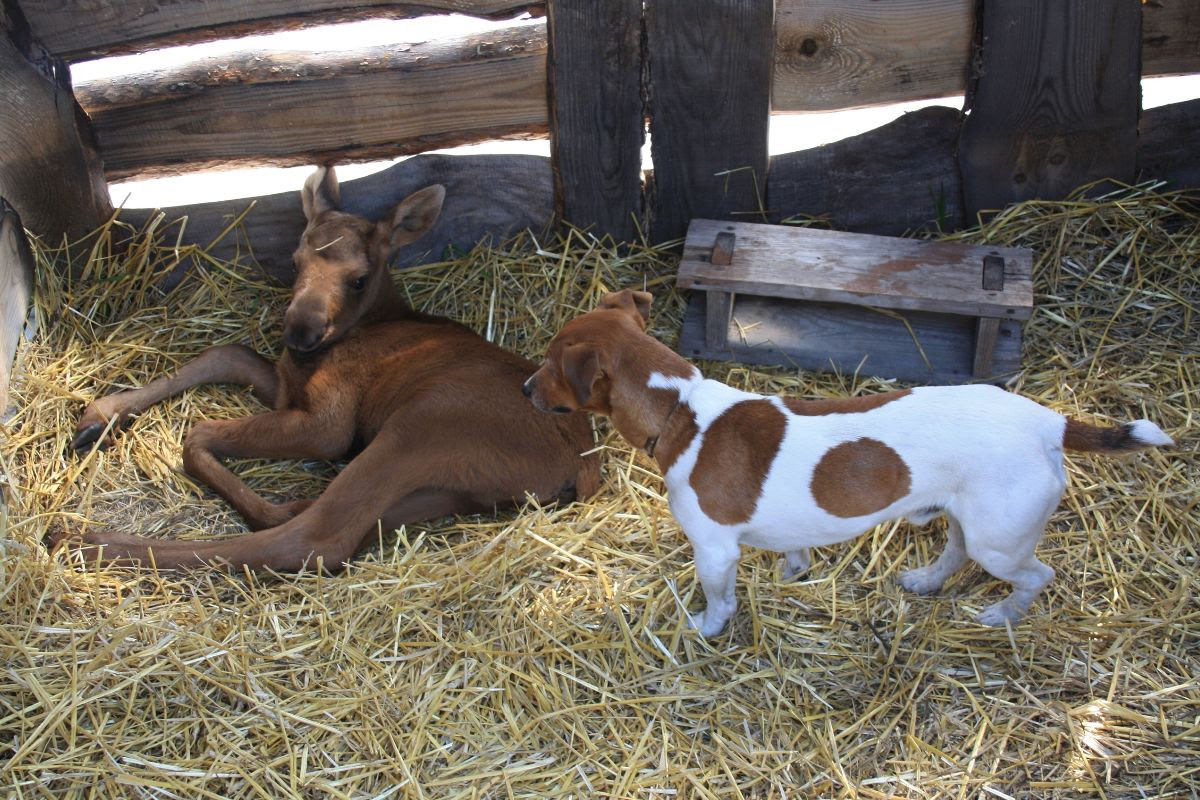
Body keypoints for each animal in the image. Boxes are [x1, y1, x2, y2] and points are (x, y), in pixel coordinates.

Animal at [523, 291, 1171, 633]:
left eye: (551, 364)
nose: (526, 389)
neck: (681, 408)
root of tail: (1047, 421)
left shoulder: (715, 550)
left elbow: (720, 597)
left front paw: (707, 627)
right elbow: (793, 552)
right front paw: (793, 574)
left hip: (1002, 540)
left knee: (1036, 576)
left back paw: (1002, 614)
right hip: (969, 518)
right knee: (955, 552)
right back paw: (926, 581)